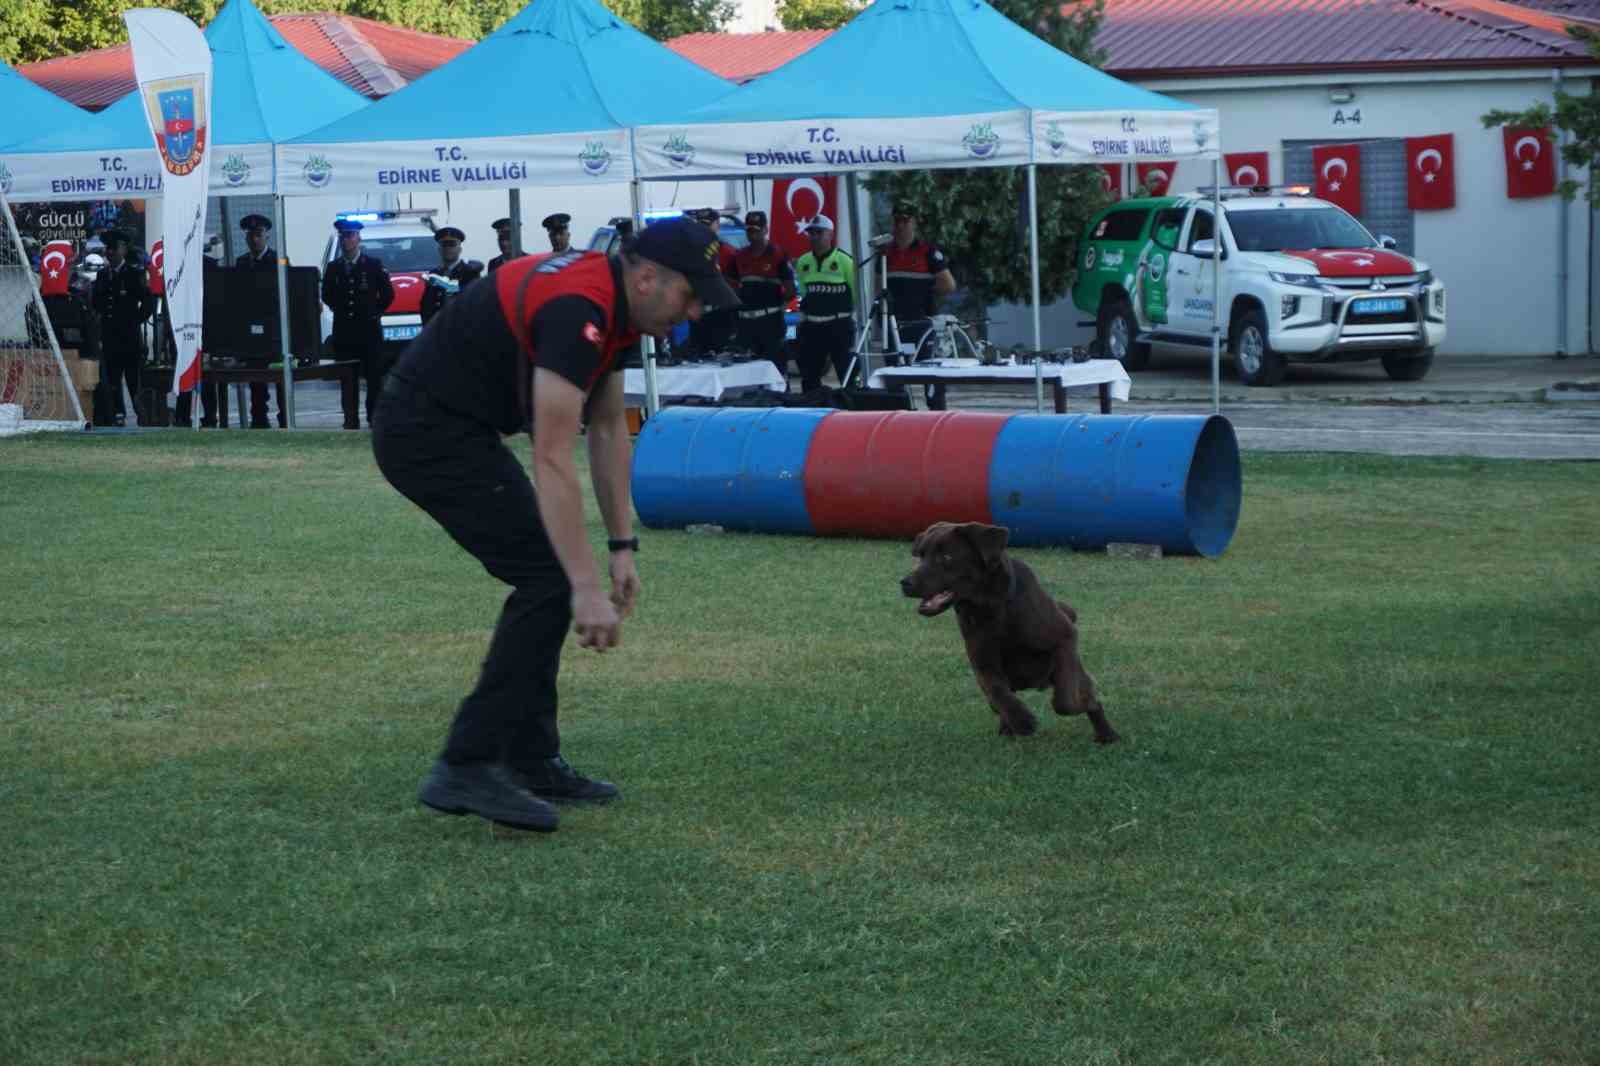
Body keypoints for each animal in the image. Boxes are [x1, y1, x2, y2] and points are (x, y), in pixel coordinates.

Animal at [896, 521, 1120, 739]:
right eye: (920, 556)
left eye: (946, 557)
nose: (905, 583)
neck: (993, 609)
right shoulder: (983, 663)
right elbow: (997, 693)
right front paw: (1021, 720)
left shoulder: (1065, 637)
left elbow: (1066, 703)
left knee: (1088, 696)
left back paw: (1107, 734)